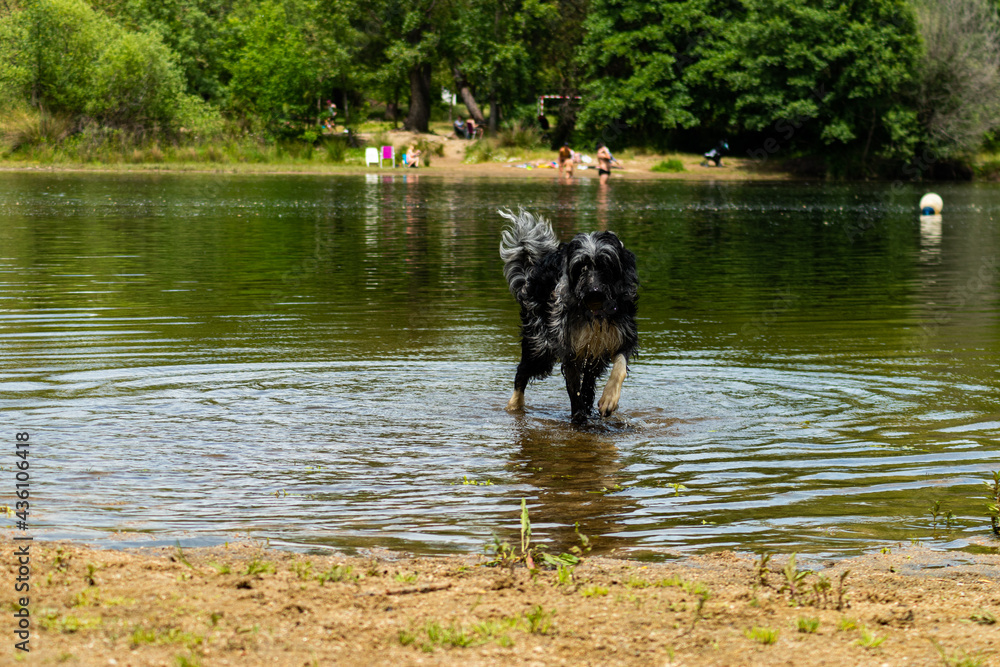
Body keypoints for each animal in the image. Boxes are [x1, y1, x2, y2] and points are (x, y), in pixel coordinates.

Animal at [500, 210, 640, 422]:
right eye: (580, 267)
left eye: (605, 266)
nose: (594, 293)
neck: (595, 314)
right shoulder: (569, 347)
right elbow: (574, 389)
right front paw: (579, 418)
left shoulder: (622, 334)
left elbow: (620, 366)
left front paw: (609, 398)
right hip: (540, 346)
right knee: (521, 373)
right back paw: (514, 405)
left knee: (589, 382)